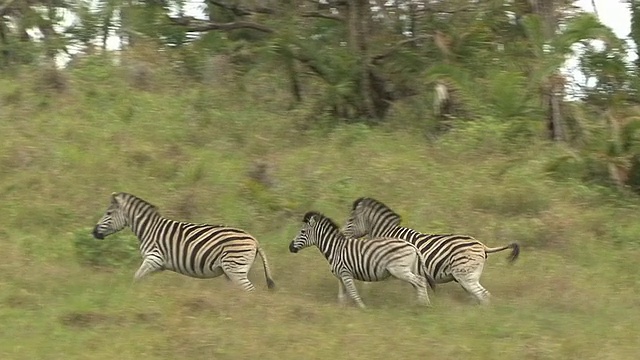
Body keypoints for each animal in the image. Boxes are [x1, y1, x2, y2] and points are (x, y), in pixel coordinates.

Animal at [92, 193, 276, 292]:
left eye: (108, 213)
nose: (93, 232)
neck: (148, 228)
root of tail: (254, 240)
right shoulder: (158, 265)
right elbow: (142, 278)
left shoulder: (154, 258)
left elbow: (136, 277)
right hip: (231, 271)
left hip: (235, 269)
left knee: (250, 291)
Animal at [288, 211, 436, 310]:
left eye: (302, 232)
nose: (290, 247)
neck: (335, 248)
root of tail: (412, 245)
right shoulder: (340, 276)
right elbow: (342, 297)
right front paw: (340, 311)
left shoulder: (346, 274)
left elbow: (354, 293)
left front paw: (362, 308)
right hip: (409, 269)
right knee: (419, 283)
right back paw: (420, 304)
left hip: (399, 270)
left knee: (420, 281)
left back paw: (424, 305)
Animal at [342, 198, 516, 306]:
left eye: (350, 220)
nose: (342, 234)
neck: (388, 233)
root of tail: (483, 245)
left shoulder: (392, 264)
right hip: (469, 276)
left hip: (465, 275)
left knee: (482, 295)